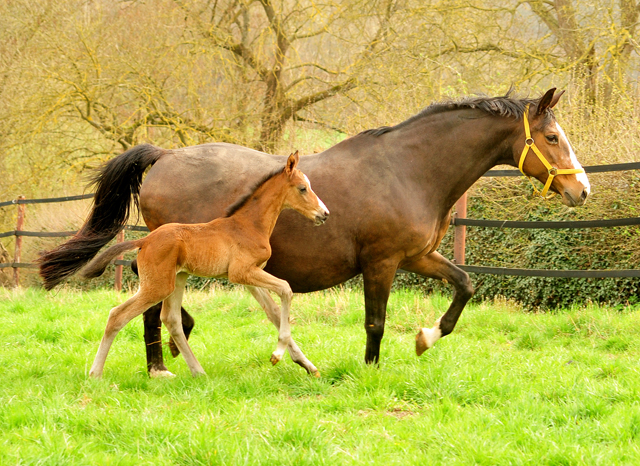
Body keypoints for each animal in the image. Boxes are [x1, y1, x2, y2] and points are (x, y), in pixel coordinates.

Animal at [82, 153, 328, 378]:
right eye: (303, 188)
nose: (324, 214)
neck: (249, 225)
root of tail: (145, 240)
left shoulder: (249, 275)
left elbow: (273, 309)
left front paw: (303, 363)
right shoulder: (242, 272)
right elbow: (286, 288)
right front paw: (277, 355)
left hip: (177, 279)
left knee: (171, 319)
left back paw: (198, 371)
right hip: (158, 286)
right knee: (117, 315)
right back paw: (95, 373)